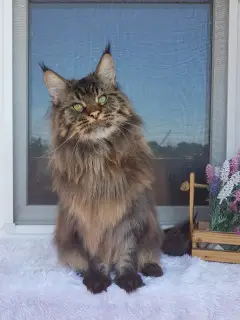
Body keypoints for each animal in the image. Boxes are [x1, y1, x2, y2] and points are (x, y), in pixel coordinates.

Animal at [40, 43, 191, 294]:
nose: (94, 113)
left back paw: (151, 268)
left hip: (150, 230)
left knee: (149, 253)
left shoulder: (130, 215)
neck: (100, 159)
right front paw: (97, 279)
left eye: (101, 99)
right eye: (78, 106)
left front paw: (128, 278)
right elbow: (95, 256)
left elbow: (127, 252)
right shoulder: (89, 219)